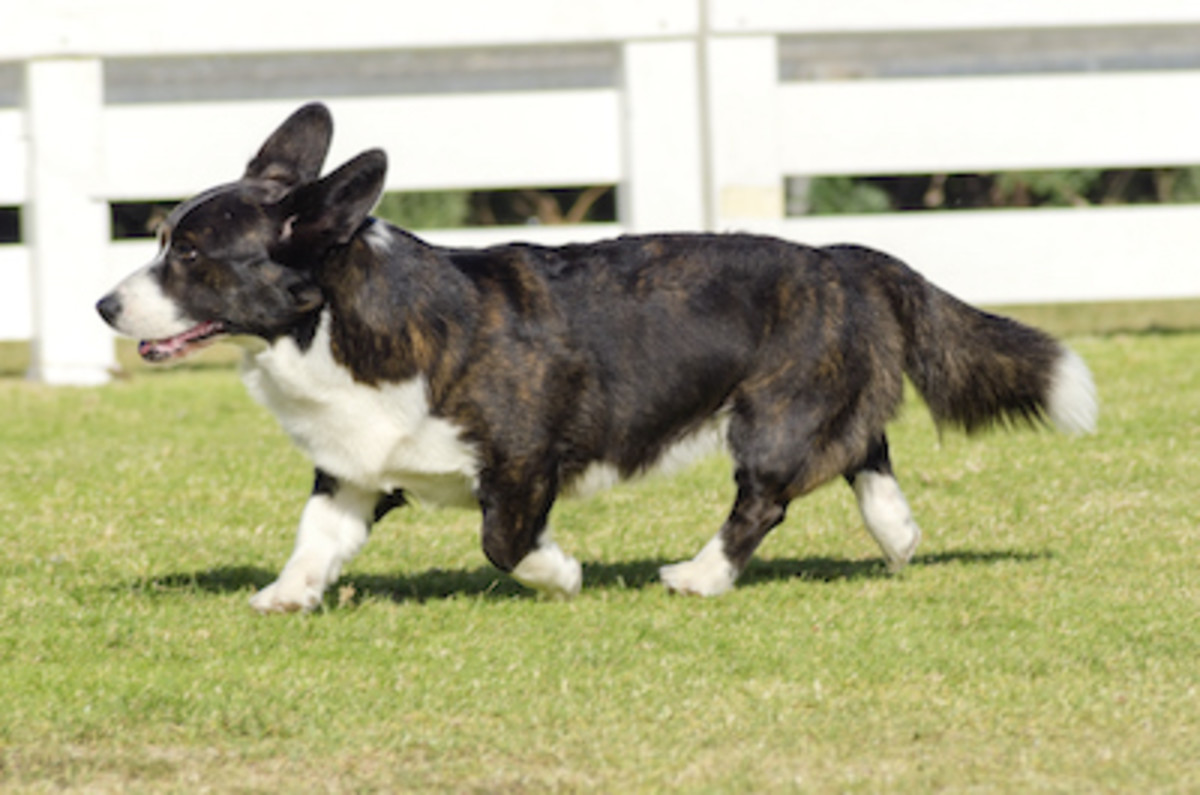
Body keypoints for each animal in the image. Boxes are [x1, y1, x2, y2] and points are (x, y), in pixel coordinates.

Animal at [96, 99, 1099, 610]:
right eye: (163, 238)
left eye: (192, 256)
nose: (104, 304)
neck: (341, 323)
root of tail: (845, 256)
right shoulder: (351, 469)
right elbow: (316, 536)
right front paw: (286, 594)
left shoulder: (523, 457)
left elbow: (503, 540)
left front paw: (562, 574)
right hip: (814, 402)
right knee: (867, 454)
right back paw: (898, 537)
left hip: (770, 415)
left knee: (766, 500)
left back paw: (700, 576)